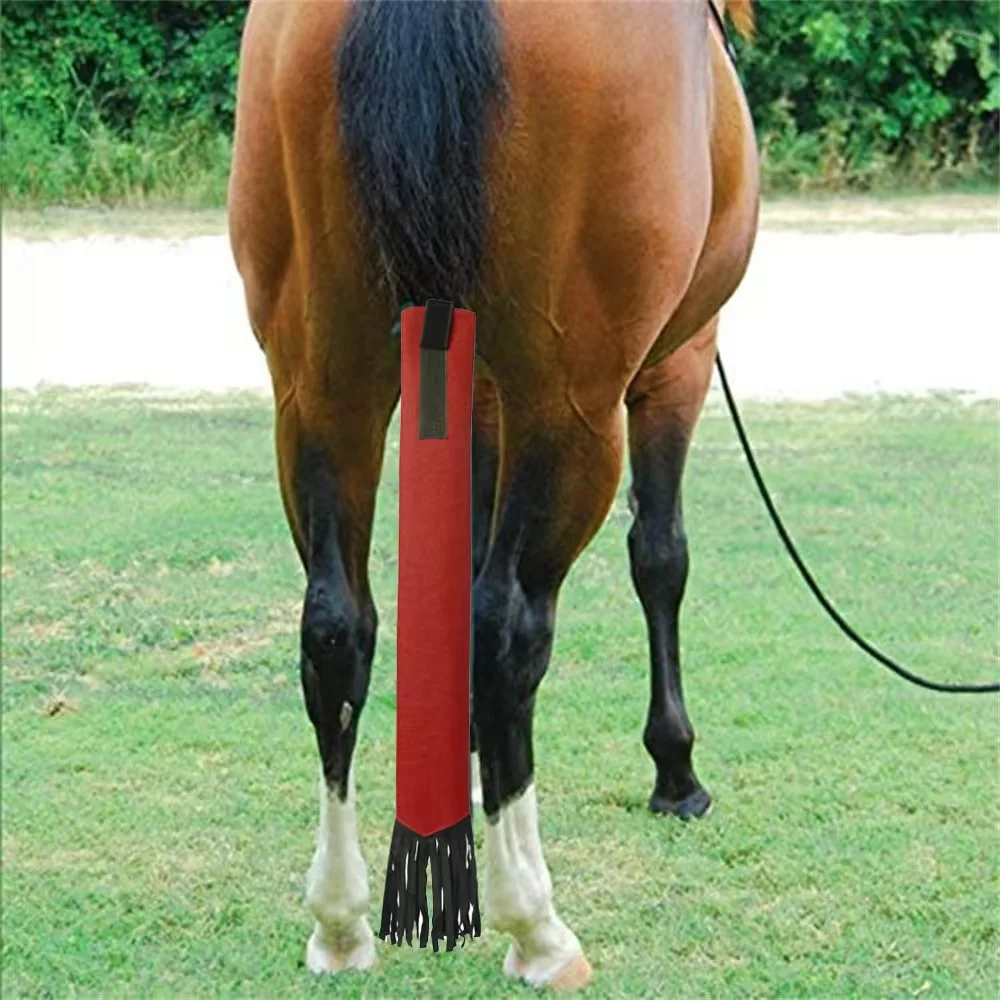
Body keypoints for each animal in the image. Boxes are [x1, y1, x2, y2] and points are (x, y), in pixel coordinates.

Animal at [228, 0, 759, 988]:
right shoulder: (678, 360)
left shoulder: (472, 389)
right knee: (510, 628)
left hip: (320, 381)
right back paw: (536, 927)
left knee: (335, 628)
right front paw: (675, 770)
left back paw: (341, 924)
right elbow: (659, 557)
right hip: (573, 399)